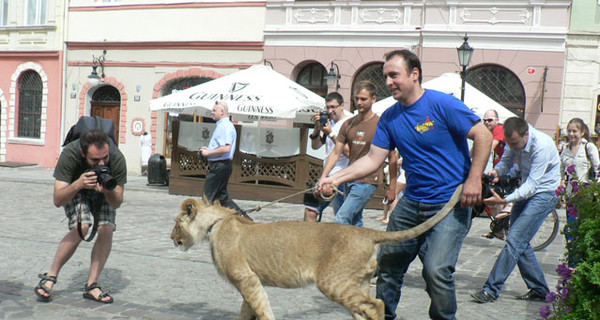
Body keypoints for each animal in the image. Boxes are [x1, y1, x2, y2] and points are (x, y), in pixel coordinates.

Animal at [171, 184, 462, 318]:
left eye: (176, 223)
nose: (171, 237)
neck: (215, 224)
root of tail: (367, 233)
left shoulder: (247, 278)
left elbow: (261, 310)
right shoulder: (250, 281)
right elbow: (247, 311)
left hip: (332, 281)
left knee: (377, 305)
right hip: (357, 282)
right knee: (363, 309)